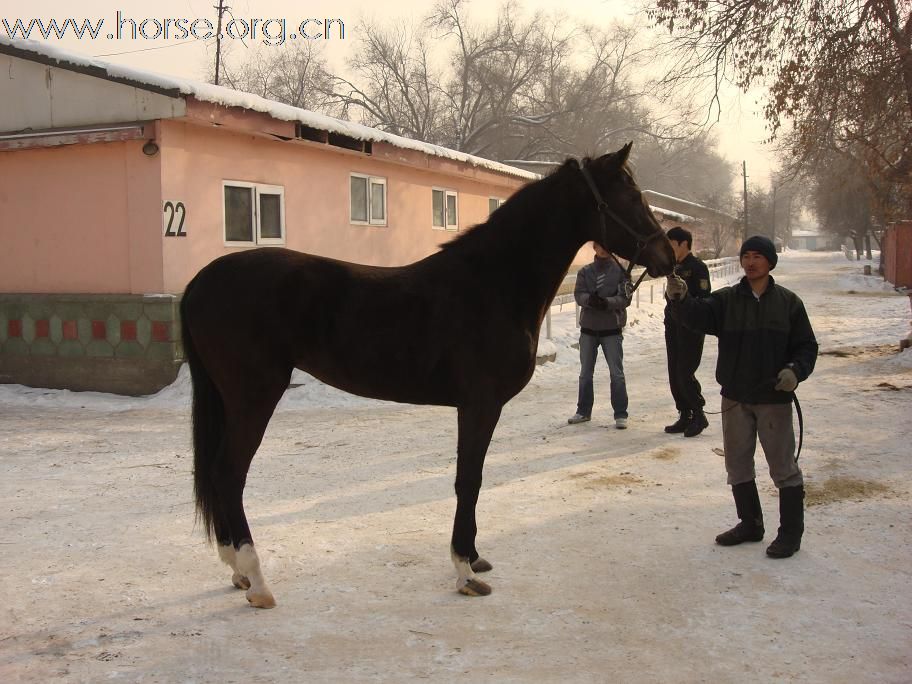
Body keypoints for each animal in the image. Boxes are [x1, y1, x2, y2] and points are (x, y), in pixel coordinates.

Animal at [182, 142, 672, 608]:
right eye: (630, 195)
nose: (668, 256)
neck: (494, 284)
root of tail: (199, 283)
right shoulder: (479, 405)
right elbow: (468, 479)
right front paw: (465, 572)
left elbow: (471, 478)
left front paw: (474, 557)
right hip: (254, 395)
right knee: (229, 472)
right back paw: (259, 583)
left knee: (218, 472)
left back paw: (238, 570)